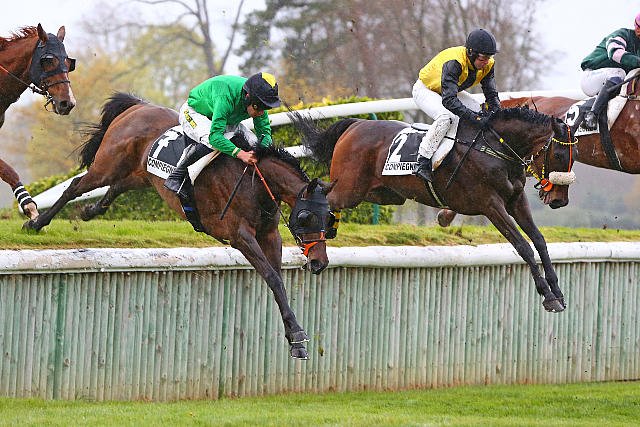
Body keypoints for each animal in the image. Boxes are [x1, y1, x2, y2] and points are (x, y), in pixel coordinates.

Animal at [23, 93, 334, 360]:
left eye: (331, 219)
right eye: (306, 218)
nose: (319, 263)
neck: (254, 181)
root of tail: (138, 106)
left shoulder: (269, 234)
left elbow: (278, 280)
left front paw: (296, 339)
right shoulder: (239, 235)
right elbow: (272, 277)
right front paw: (297, 336)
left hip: (141, 174)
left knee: (119, 186)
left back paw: (90, 211)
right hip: (107, 166)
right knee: (76, 185)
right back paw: (36, 222)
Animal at [291, 107, 577, 313]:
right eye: (559, 155)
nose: (559, 200)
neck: (495, 149)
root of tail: (356, 124)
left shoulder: (516, 200)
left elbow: (539, 240)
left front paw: (558, 291)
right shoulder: (490, 204)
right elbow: (523, 246)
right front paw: (547, 296)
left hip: (384, 194)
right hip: (350, 190)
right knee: (319, 196)